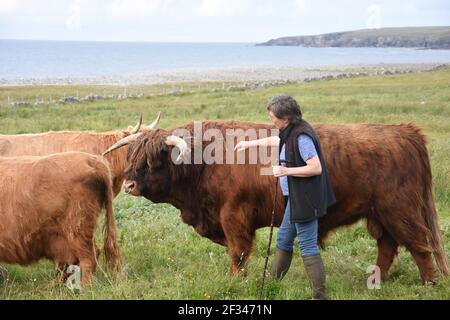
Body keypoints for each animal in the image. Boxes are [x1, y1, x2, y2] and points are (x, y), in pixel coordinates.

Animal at [0, 152, 122, 284]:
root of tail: (92, 160)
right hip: (62, 236)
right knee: (69, 263)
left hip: (77, 227)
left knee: (88, 257)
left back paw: (85, 286)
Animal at [103, 121, 448, 284]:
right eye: (132, 156)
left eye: (153, 160)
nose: (129, 184)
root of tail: (402, 131)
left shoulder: (234, 215)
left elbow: (238, 251)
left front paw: (236, 279)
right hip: (379, 214)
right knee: (388, 246)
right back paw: (376, 279)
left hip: (400, 209)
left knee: (419, 244)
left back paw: (429, 282)